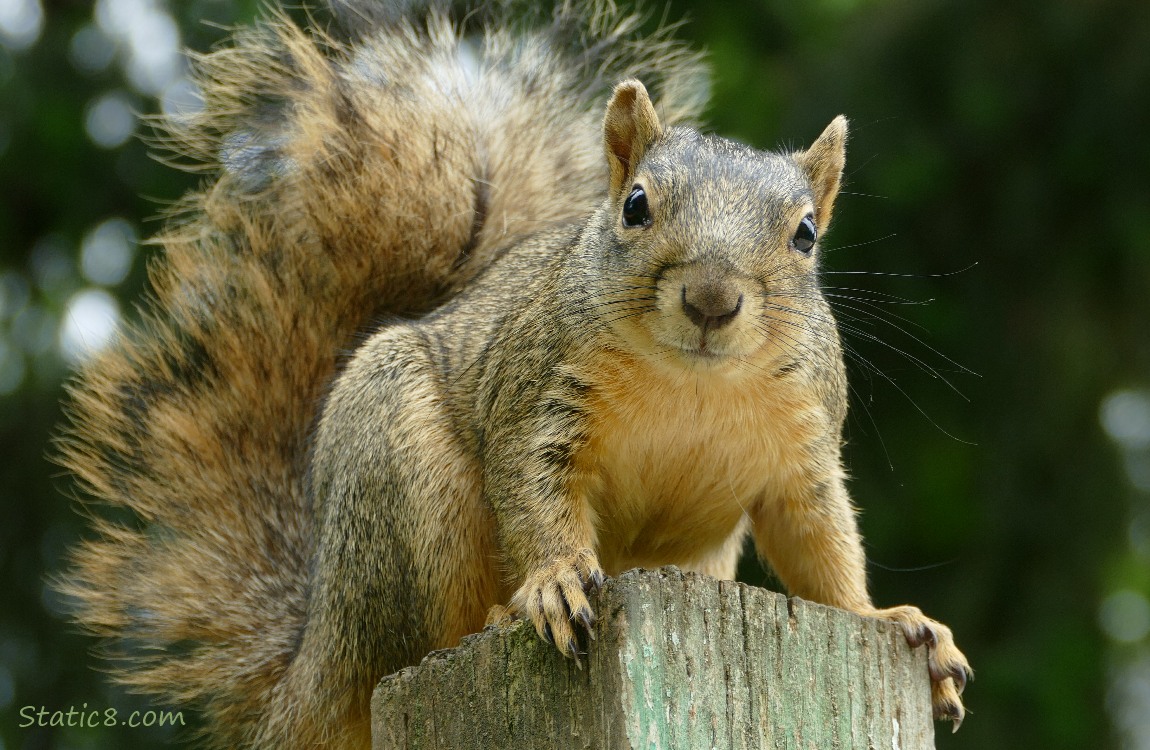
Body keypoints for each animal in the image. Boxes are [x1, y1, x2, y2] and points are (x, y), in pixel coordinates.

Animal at [57, 1, 971, 747]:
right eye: (636, 206)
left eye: (806, 235)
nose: (712, 299)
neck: (692, 383)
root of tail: (314, 654)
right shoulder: (539, 399)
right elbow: (534, 494)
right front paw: (556, 582)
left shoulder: (800, 451)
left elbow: (820, 546)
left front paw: (899, 623)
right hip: (399, 480)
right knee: (425, 632)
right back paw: (500, 613)